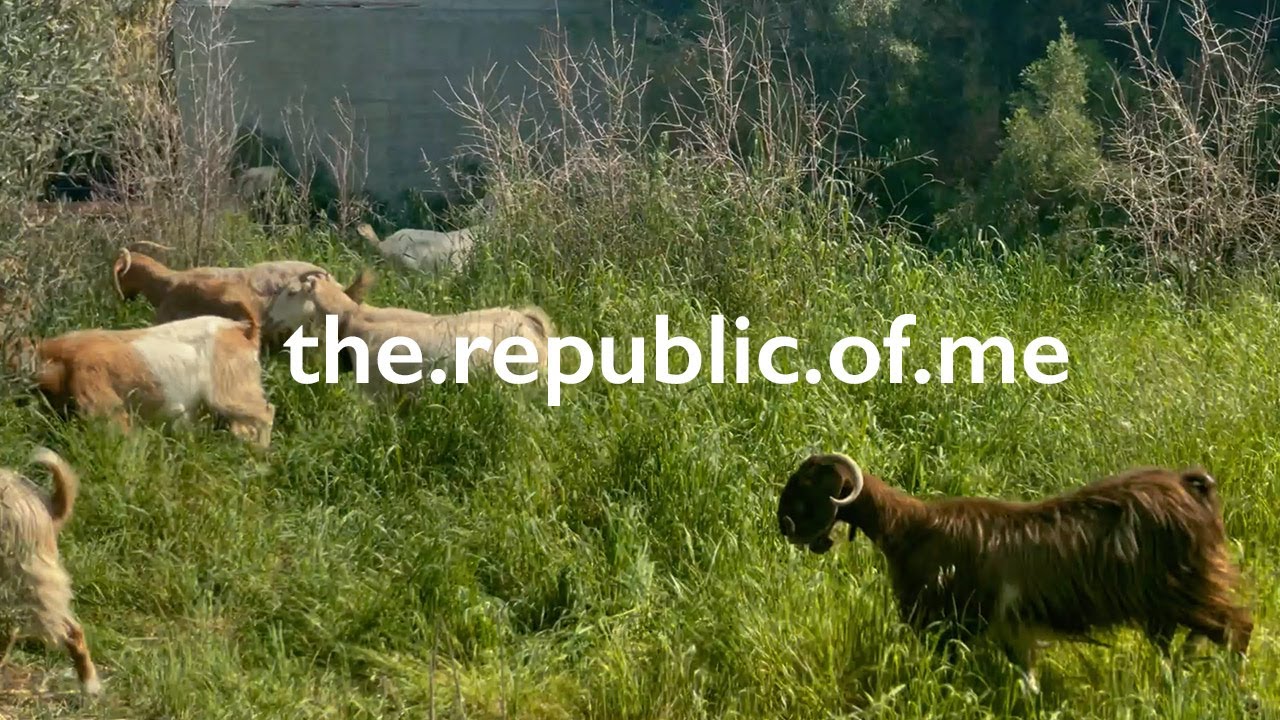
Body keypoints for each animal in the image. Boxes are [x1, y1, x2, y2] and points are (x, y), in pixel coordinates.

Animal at [776, 453, 1253, 696]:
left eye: (806, 486)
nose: (785, 526)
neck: (910, 528)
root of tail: (1192, 486)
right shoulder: (1006, 631)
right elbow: (1027, 680)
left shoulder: (949, 625)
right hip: (1169, 604)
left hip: (1188, 588)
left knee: (1239, 627)